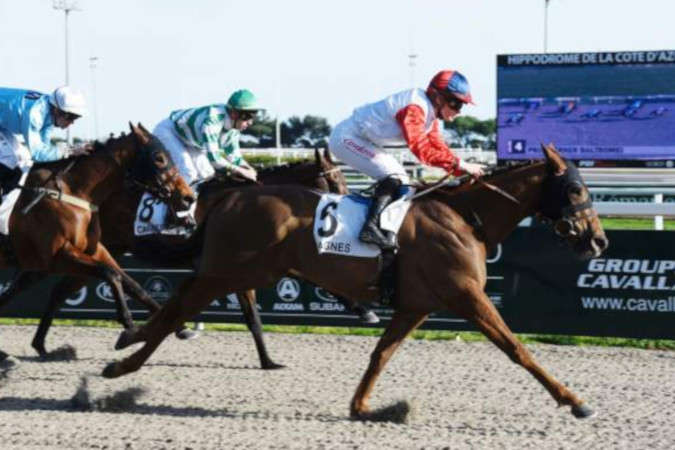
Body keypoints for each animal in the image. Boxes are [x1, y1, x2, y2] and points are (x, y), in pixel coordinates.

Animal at [0, 123, 195, 361]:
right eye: (159, 158)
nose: (188, 197)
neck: (73, 192)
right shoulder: (56, 257)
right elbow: (110, 274)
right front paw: (128, 324)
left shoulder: (95, 250)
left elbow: (132, 284)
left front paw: (180, 327)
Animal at [5, 149, 352, 365]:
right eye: (334, 181)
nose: (349, 208)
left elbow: (258, 311)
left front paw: (269, 360)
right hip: (89, 248)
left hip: (97, 248)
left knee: (58, 288)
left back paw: (41, 344)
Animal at [102, 144, 609, 420]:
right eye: (576, 189)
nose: (598, 240)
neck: (465, 218)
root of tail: (227, 200)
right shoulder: (467, 295)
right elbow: (517, 348)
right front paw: (575, 400)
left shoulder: (415, 305)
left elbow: (381, 354)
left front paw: (364, 407)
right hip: (227, 271)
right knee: (177, 309)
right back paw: (123, 361)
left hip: (238, 271)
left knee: (177, 305)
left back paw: (128, 343)